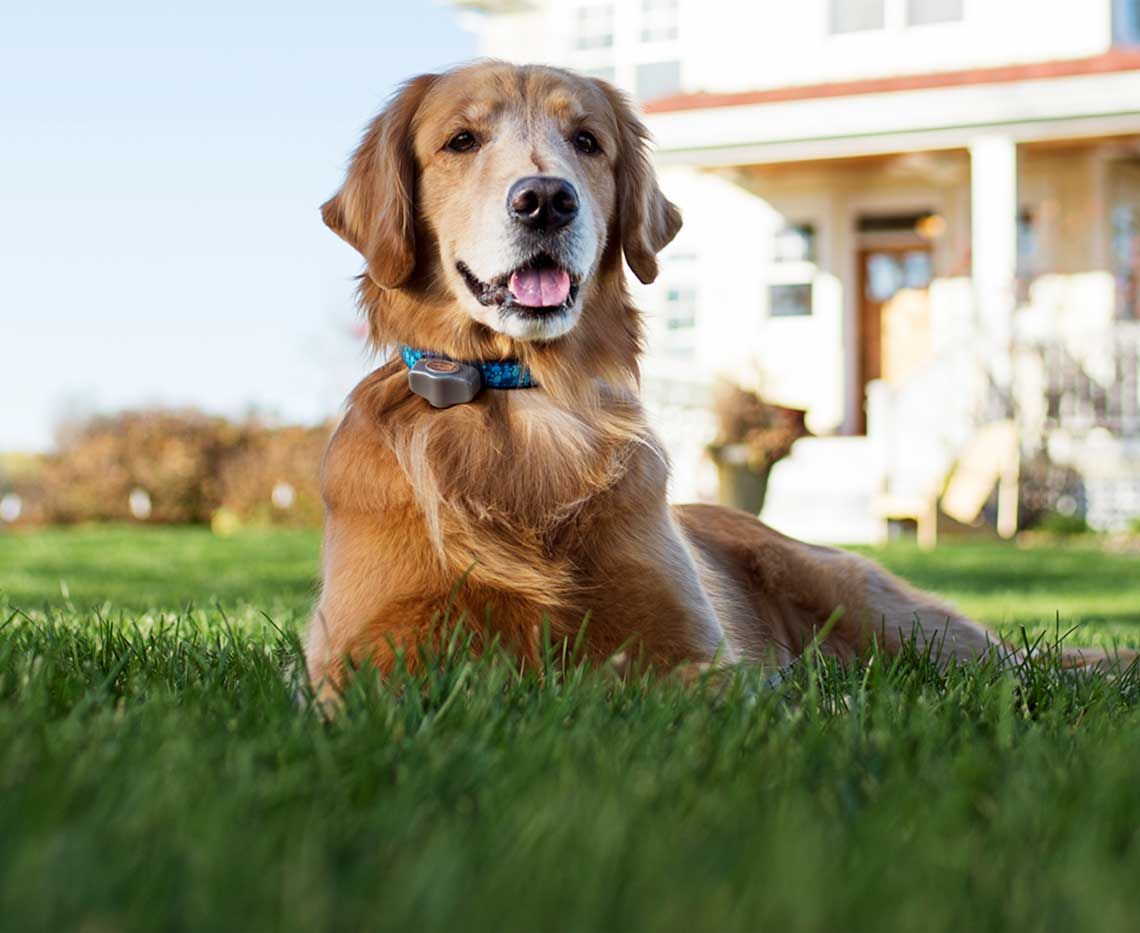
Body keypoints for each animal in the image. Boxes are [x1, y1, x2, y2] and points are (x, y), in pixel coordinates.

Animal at [305, 59, 1121, 698]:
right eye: (461, 142)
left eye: (587, 142)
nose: (546, 199)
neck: (525, 397)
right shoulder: (356, 656)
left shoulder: (695, 651)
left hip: (886, 612)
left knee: (1019, 664)